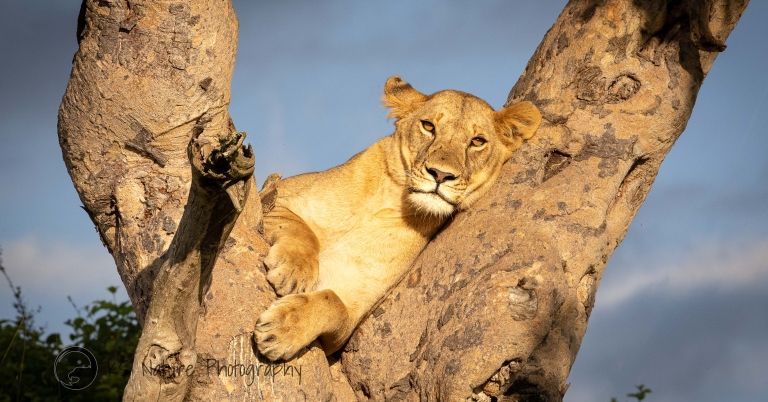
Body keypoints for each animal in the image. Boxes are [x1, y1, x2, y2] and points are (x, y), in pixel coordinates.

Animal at [254, 76, 541, 361]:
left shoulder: (350, 315)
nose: (440, 174)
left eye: (478, 141)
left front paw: (280, 329)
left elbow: (332, 303)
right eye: (428, 126)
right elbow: (301, 231)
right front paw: (294, 271)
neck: (389, 199)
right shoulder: (273, 198)